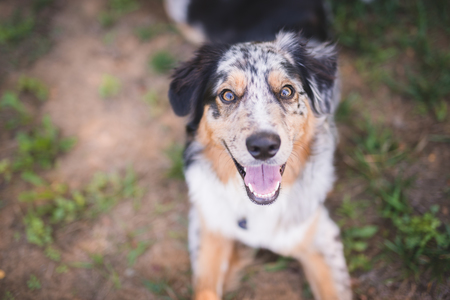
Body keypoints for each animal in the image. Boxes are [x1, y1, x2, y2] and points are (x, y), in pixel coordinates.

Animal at [163, 1, 350, 298]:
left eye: (287, 91)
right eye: (227, 95)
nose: (263, 146)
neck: (256, 208)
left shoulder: (320, 236)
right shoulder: (208, 225)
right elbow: (204, 289)